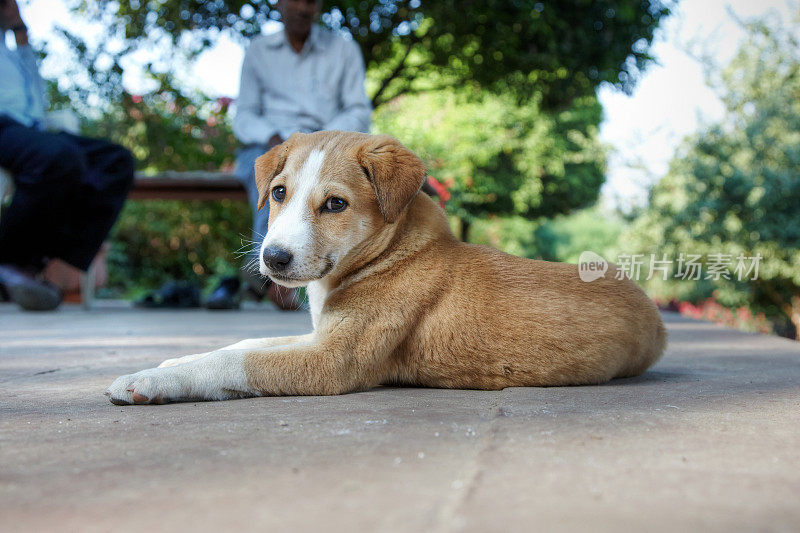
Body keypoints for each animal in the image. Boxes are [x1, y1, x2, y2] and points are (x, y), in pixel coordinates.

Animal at [108, 130, 668, 404]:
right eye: (279, 193)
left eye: (335, 204)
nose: (273, 259)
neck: (386, 252)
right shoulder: (321, 334)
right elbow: (245, 343)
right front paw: (171, 363)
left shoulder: (333, 360)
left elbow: (238, 363)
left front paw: (145, 382)